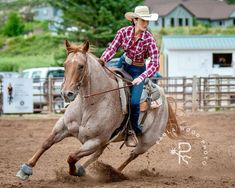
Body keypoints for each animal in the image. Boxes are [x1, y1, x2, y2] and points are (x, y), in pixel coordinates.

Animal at [16, 40, 181, 181]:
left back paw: (115, 172)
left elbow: (72, 156)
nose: (66, 93)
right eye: (65, 65)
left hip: (147, 141)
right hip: (109, 139)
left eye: (81, 66)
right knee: (100, 154)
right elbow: (46, 143)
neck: (89, 104)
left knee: (132, 154)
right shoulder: (63, 127)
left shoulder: (95, 140)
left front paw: (74, 172)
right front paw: (26, 169)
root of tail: (164, 96)